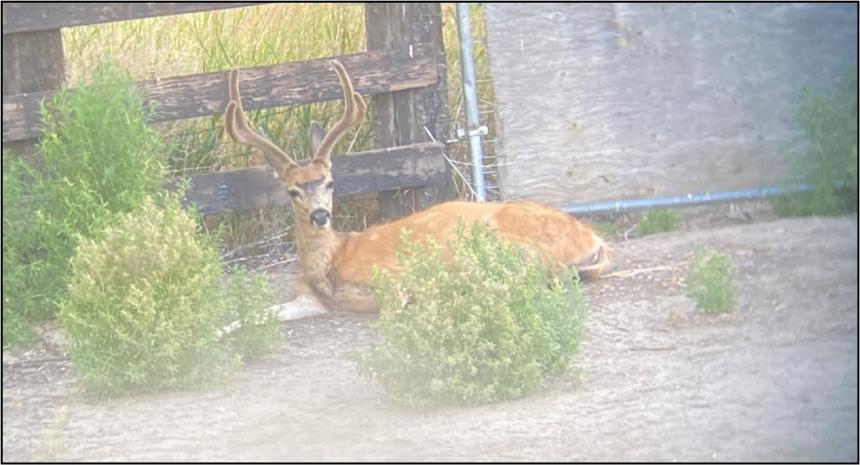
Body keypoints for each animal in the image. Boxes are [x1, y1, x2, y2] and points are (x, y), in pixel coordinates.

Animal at [223, 59, 612, 320]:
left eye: (330, 183)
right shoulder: (307, 297)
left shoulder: (389, 277)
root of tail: (593, 239)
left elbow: (394, 300)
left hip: (505, 239)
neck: (331, 262)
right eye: (293, 190)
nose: (320, 215)